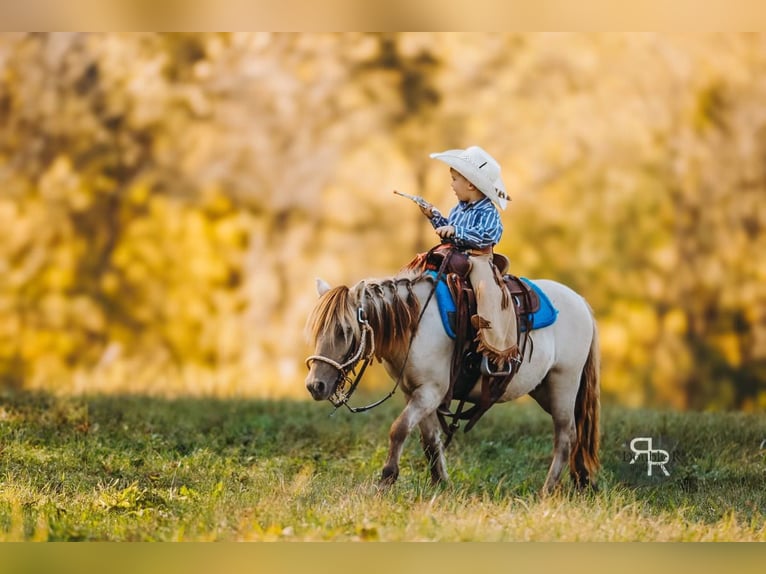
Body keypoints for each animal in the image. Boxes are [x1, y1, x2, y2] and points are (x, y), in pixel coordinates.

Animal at [304, 264, 600, 494]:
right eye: (317, 330)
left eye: (344, 330)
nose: (315, 385)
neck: (414, 322)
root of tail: (581, 302)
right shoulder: (415, 393)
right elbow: (430, 440)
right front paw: (441, 484)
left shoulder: (431, 392)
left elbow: (399, 429)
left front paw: (387, 479)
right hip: (544, 390)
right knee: (574, 433)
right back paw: (580, 481)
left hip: (564, 383)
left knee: (565, 436)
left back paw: (547, 490)